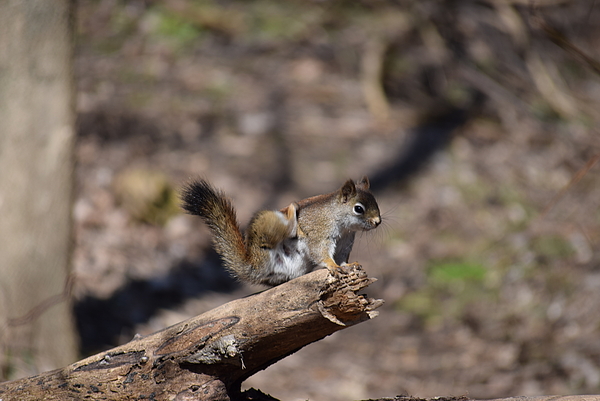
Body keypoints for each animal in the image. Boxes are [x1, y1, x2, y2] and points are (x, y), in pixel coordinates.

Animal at [180, 177, 382, 286]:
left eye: (376, 202)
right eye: (358, 209)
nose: (378, 222)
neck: (343, 225)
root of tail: (254, 264)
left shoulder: (345, 242)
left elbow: (341, 257)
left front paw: (348, 265)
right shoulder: (319, 232)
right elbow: (320, 251)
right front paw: (332, 266)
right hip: (268, 224)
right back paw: (292, 213)